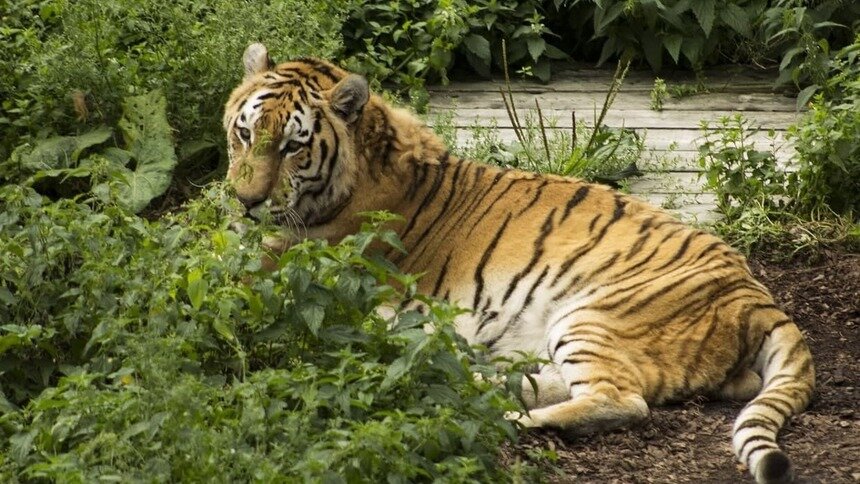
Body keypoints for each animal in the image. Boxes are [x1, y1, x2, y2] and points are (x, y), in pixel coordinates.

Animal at [222, 43, 812, 482]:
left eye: (293, 147)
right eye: (244, 132)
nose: (244, 201)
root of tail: (757, 297)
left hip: (591, 316)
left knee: (621, 400)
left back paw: (505, 416)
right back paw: (460, 379)